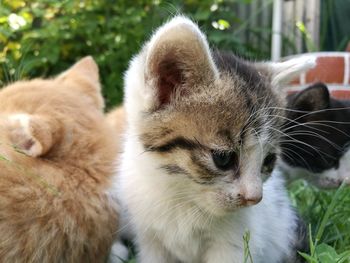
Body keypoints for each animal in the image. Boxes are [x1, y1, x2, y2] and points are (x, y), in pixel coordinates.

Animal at [113, 16, 316, 263]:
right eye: (223, 158)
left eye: (268, 161)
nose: (255, 198)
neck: (181, 196)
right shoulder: (150, 239)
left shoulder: (234, 243)